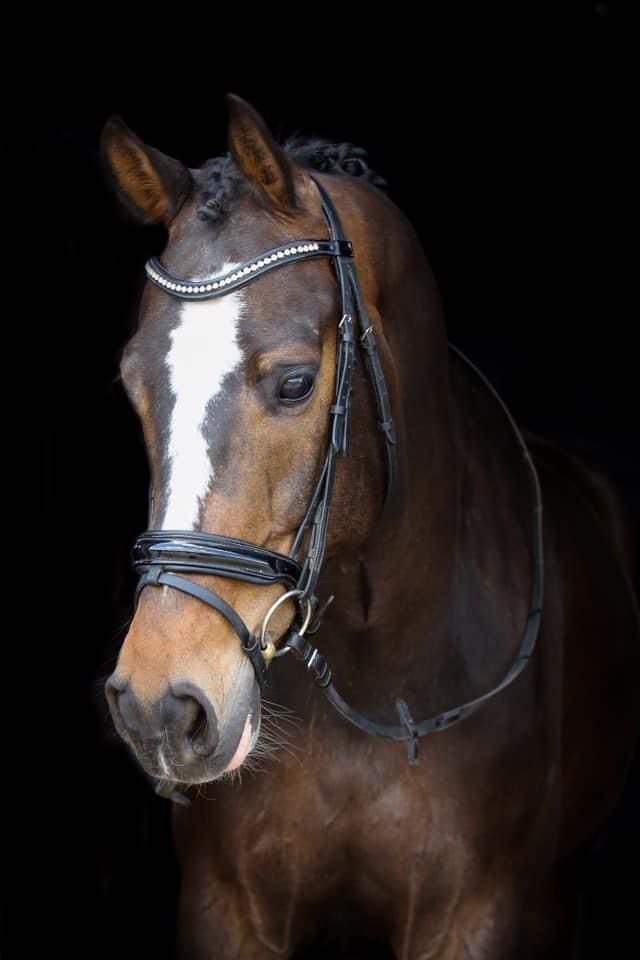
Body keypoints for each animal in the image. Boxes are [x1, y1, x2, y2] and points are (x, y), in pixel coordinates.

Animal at [101, 94, 639, 958]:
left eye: (295, 382)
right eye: (133, 383)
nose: (160, 705)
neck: (381, 671)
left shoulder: (476, 919)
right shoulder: (226, 912)